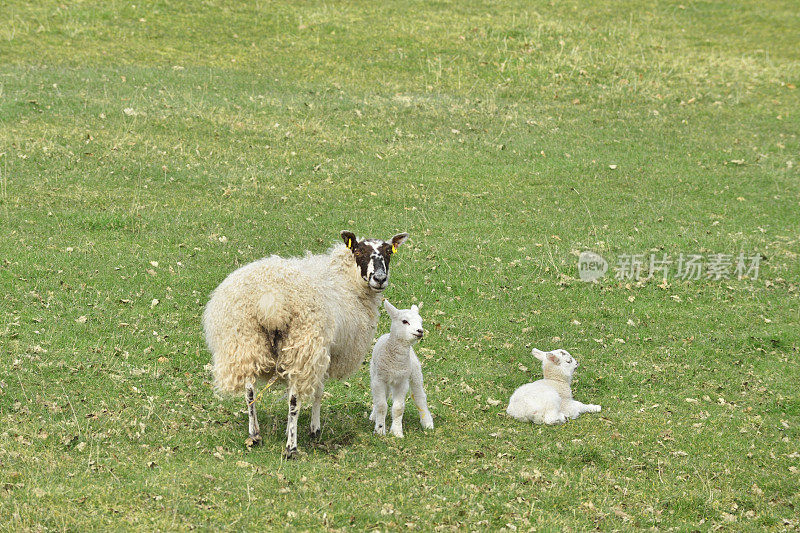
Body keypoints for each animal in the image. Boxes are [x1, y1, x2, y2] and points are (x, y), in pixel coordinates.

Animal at [203, 229, 410, 458]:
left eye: (388, 252)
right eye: (359, 251)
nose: (380, 278)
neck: (345, 279)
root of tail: (270, 302)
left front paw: (289, 428)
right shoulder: (324, 352)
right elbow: (318, 392)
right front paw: (314, 429)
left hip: (244, 343)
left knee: (250, 392)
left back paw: (255, 434)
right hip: (303, 344)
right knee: (294, 400)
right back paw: (291, 448)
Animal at [370, 300, 434, 436]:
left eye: (420, 321)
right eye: (405, 321)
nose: (420, 330)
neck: (396, 362)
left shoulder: (402, 381)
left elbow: (398, 408)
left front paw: (397, 432)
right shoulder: (379, 379)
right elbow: (381, 405)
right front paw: (380, 430)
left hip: (415, 372)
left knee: (420, 397)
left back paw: (427, 423)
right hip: (374, 373)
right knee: (381, 397)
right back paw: (373, 416)